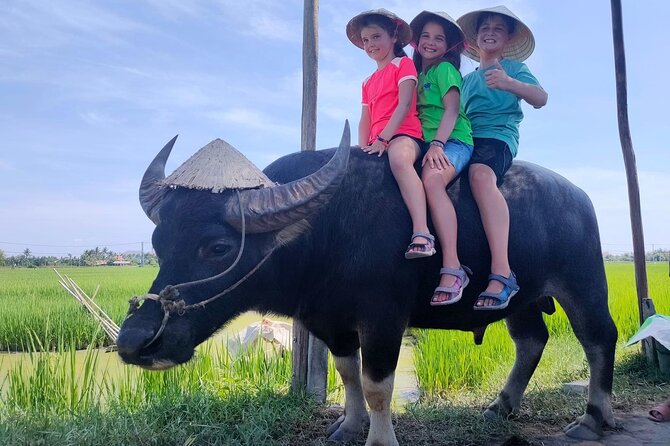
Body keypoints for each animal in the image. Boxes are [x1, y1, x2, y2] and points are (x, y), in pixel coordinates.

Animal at [117, 124, 617, 445]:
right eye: (159, 243)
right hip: (522, 298)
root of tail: (581, 198)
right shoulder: (331, 321)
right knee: (531, 340)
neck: (327, 230)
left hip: (583, 281)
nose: (136, 342)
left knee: (598, 338)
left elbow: (378, 383)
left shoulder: (383, 320)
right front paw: (348, 427)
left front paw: (379, 439)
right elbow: (347, 373)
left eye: (218, 247)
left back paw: (593, 419)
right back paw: (501, 406)